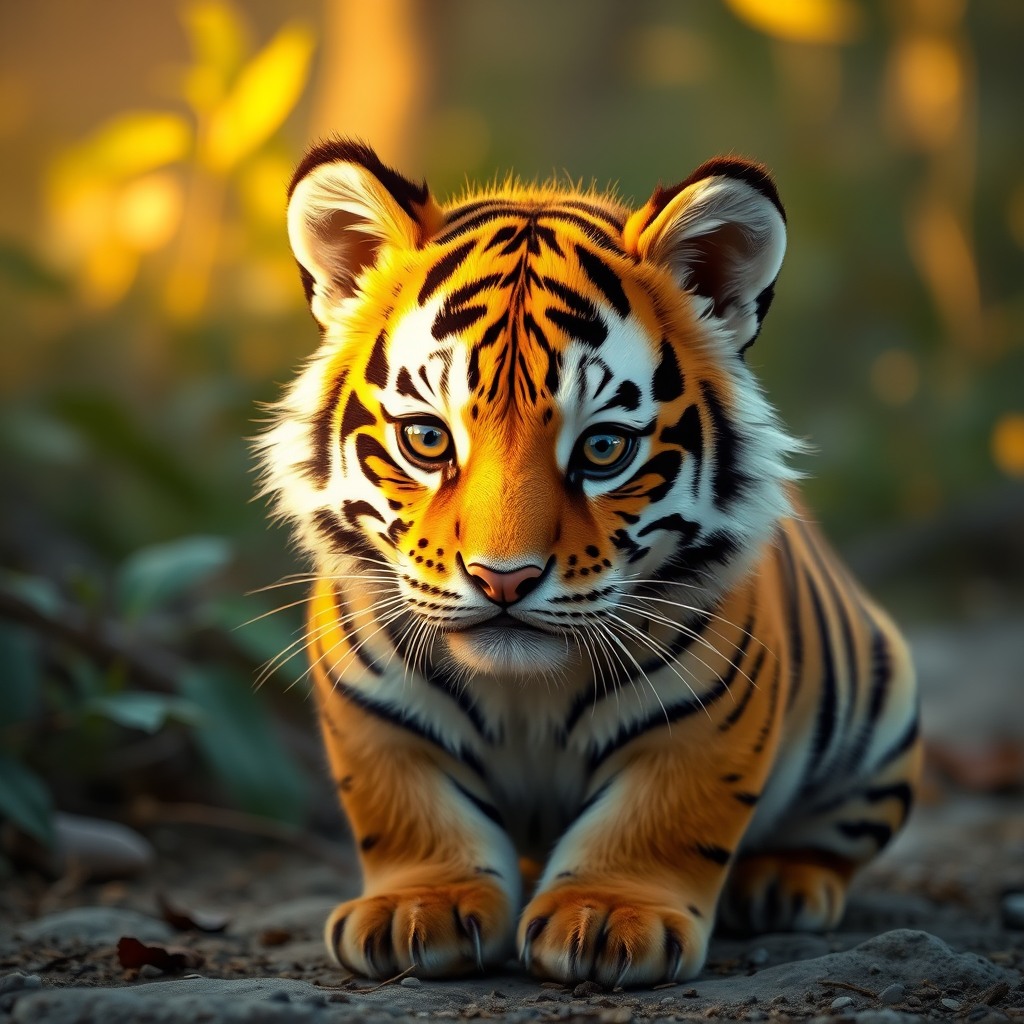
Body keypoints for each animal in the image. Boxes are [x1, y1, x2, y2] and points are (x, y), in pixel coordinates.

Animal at [256, 138, 921, 987]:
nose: (503, 578)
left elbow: (659, 819)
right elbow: (407, 808)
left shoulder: (702, 728)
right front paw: (417, 908)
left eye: (603, 448)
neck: (524, 695)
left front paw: (606, 917)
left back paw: (783, 884)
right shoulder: (374, 717)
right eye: (428, 439)